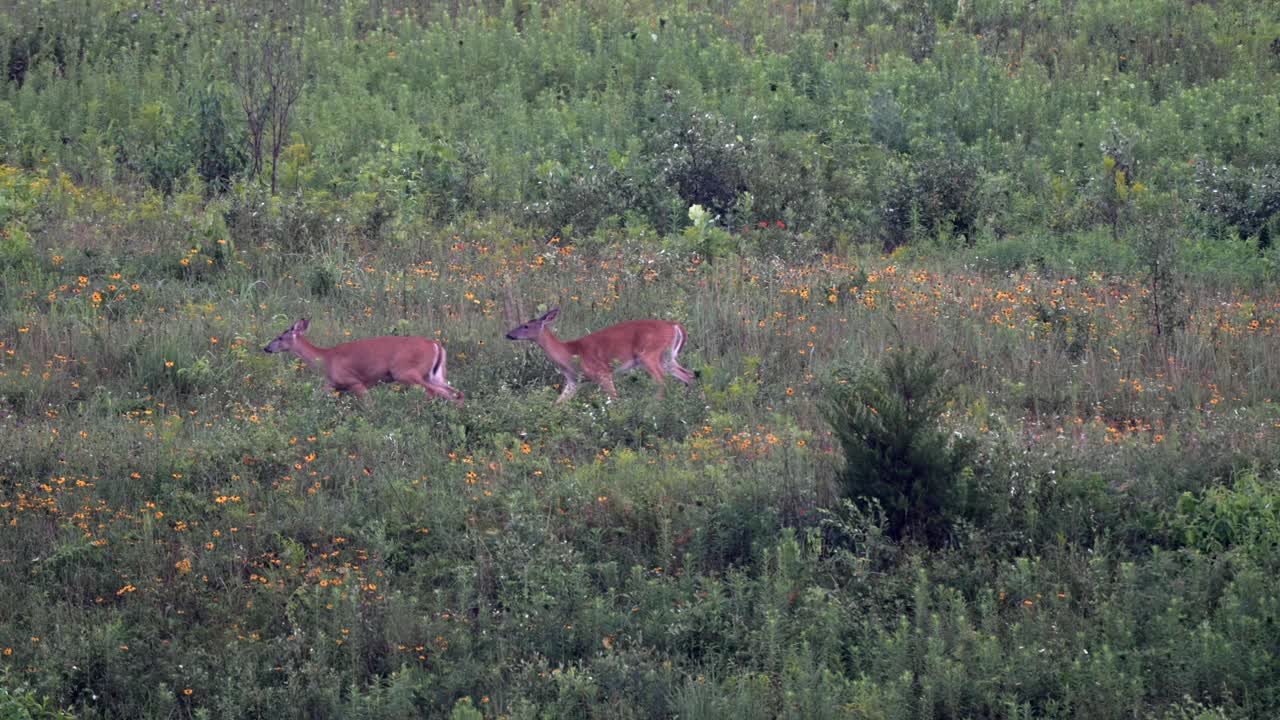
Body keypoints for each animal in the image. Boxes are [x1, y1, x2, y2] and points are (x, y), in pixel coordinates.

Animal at [263, 319, 463, 406]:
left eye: (280, 337)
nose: (266, 348)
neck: (326, 359)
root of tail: (436, 345)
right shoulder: (332, 385)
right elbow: (315, 397)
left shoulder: (354, 381)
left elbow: (369, 405)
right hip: (435, 375)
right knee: (455, 393)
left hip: (406, 372)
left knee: (434, 392)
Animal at [505, 308, 695, 403]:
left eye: (525, 326)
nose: (508, 335)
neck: (569, 354)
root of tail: (674, 325)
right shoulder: (573, 381)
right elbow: (557, 404)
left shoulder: (602, 372)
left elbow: (614, 398)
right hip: (667, 357)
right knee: (689, 375)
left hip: (649, 355)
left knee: (662, 381)